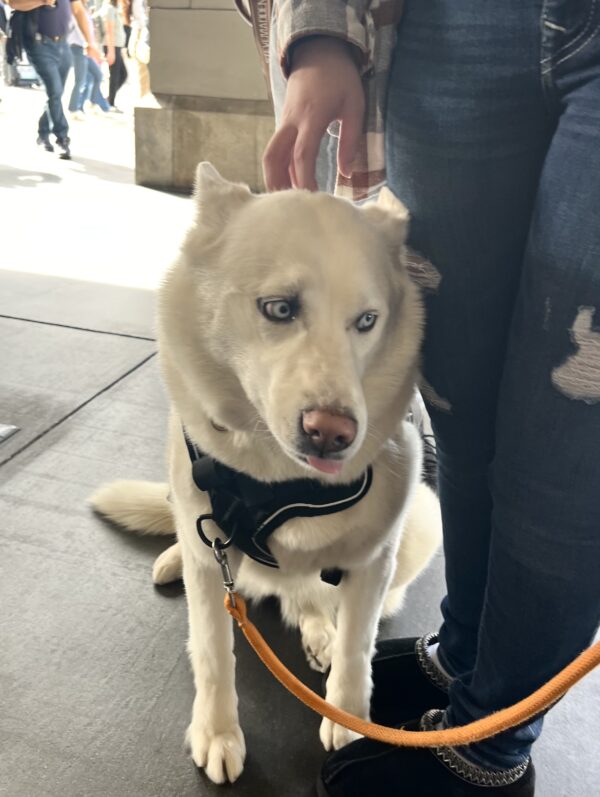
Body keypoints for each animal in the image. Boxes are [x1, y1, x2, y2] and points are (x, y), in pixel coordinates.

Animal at [91, 163, 442, 784]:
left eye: (367, 321)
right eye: (279, 309)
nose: (333, 433)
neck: (276, 479)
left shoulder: (375, 561)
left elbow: (357, 649)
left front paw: (350, 718)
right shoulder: (211, 553)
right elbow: (212, 653)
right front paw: (217, 732)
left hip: (422, 522)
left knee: (314, 600)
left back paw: (319, 629)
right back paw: (175, 558)